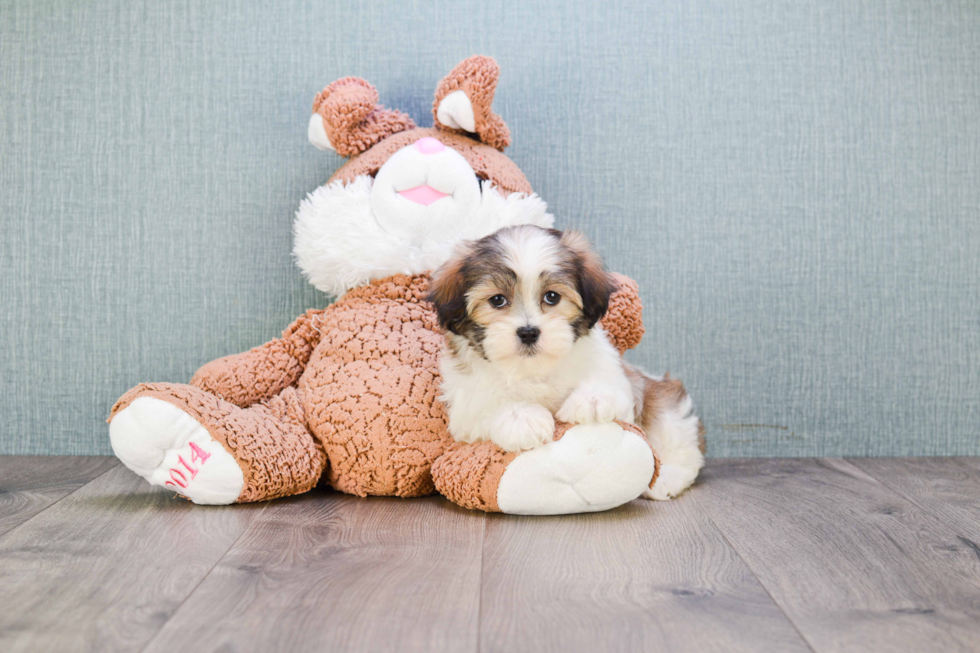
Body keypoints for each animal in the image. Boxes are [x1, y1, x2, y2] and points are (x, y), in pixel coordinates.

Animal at [426, 224, 636, 454]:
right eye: (497, 300)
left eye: (552, 297)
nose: (528, 332)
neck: (532, 369)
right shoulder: (466, 411)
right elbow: (486, 406)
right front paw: (521, 417)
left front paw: (594, 398)